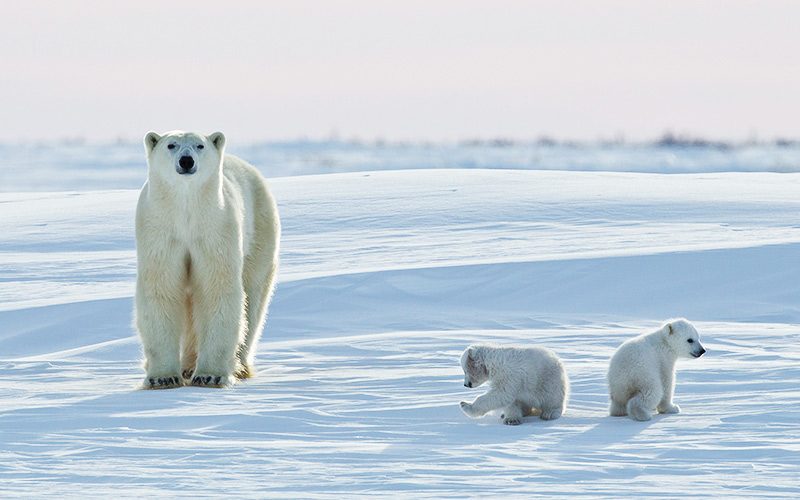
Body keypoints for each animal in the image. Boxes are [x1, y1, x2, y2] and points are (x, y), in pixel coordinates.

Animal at [133, 131, 280, 388]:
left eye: (199, 145)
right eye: (171, 145)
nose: (186, 161)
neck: (186, 211)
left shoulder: (215, 228)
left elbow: (216, 289)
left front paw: (209, 375)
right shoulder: (160, 230)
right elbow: (161, 289)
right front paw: (163, 377)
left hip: (261, 230)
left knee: (253, 299)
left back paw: (238, 366)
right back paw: (185, 366)